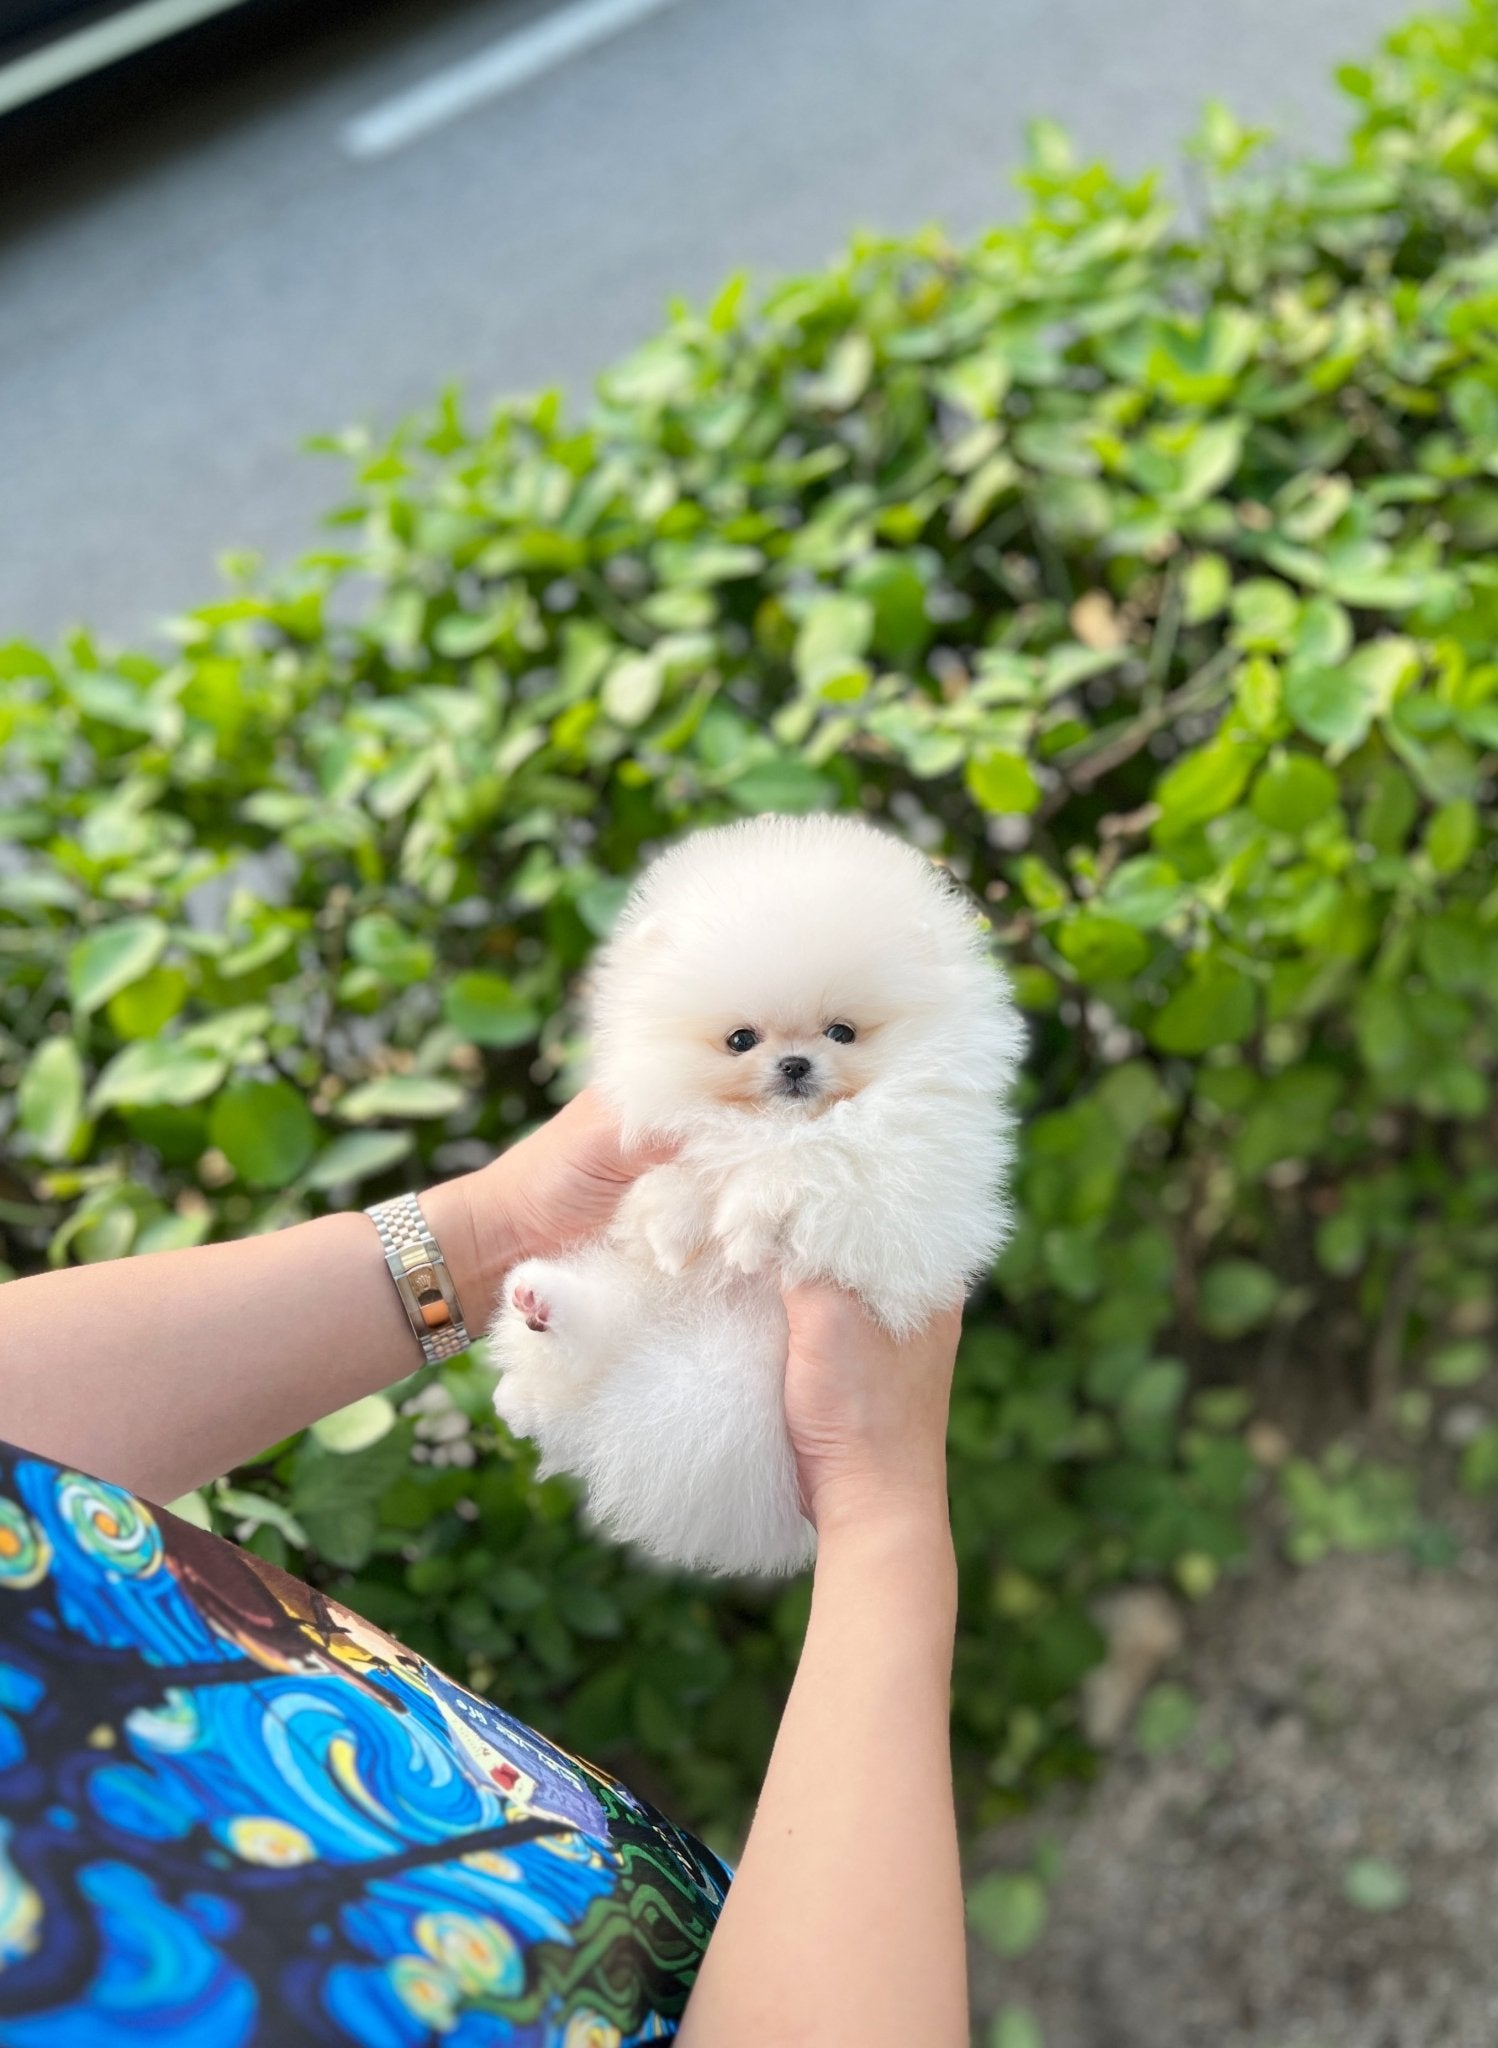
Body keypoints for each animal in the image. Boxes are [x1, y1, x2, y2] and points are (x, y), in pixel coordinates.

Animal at [485, 806, 1024, 1572]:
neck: (777, 1125)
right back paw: (538, 1320)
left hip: (726, 1391)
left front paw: (747, 1218)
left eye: (842, 1031)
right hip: (641, 1315)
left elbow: (816, 1166)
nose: (795, 1063)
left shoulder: (905, 1186)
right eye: (741, 1040)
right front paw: (677, 1222)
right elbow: (680, 1179)